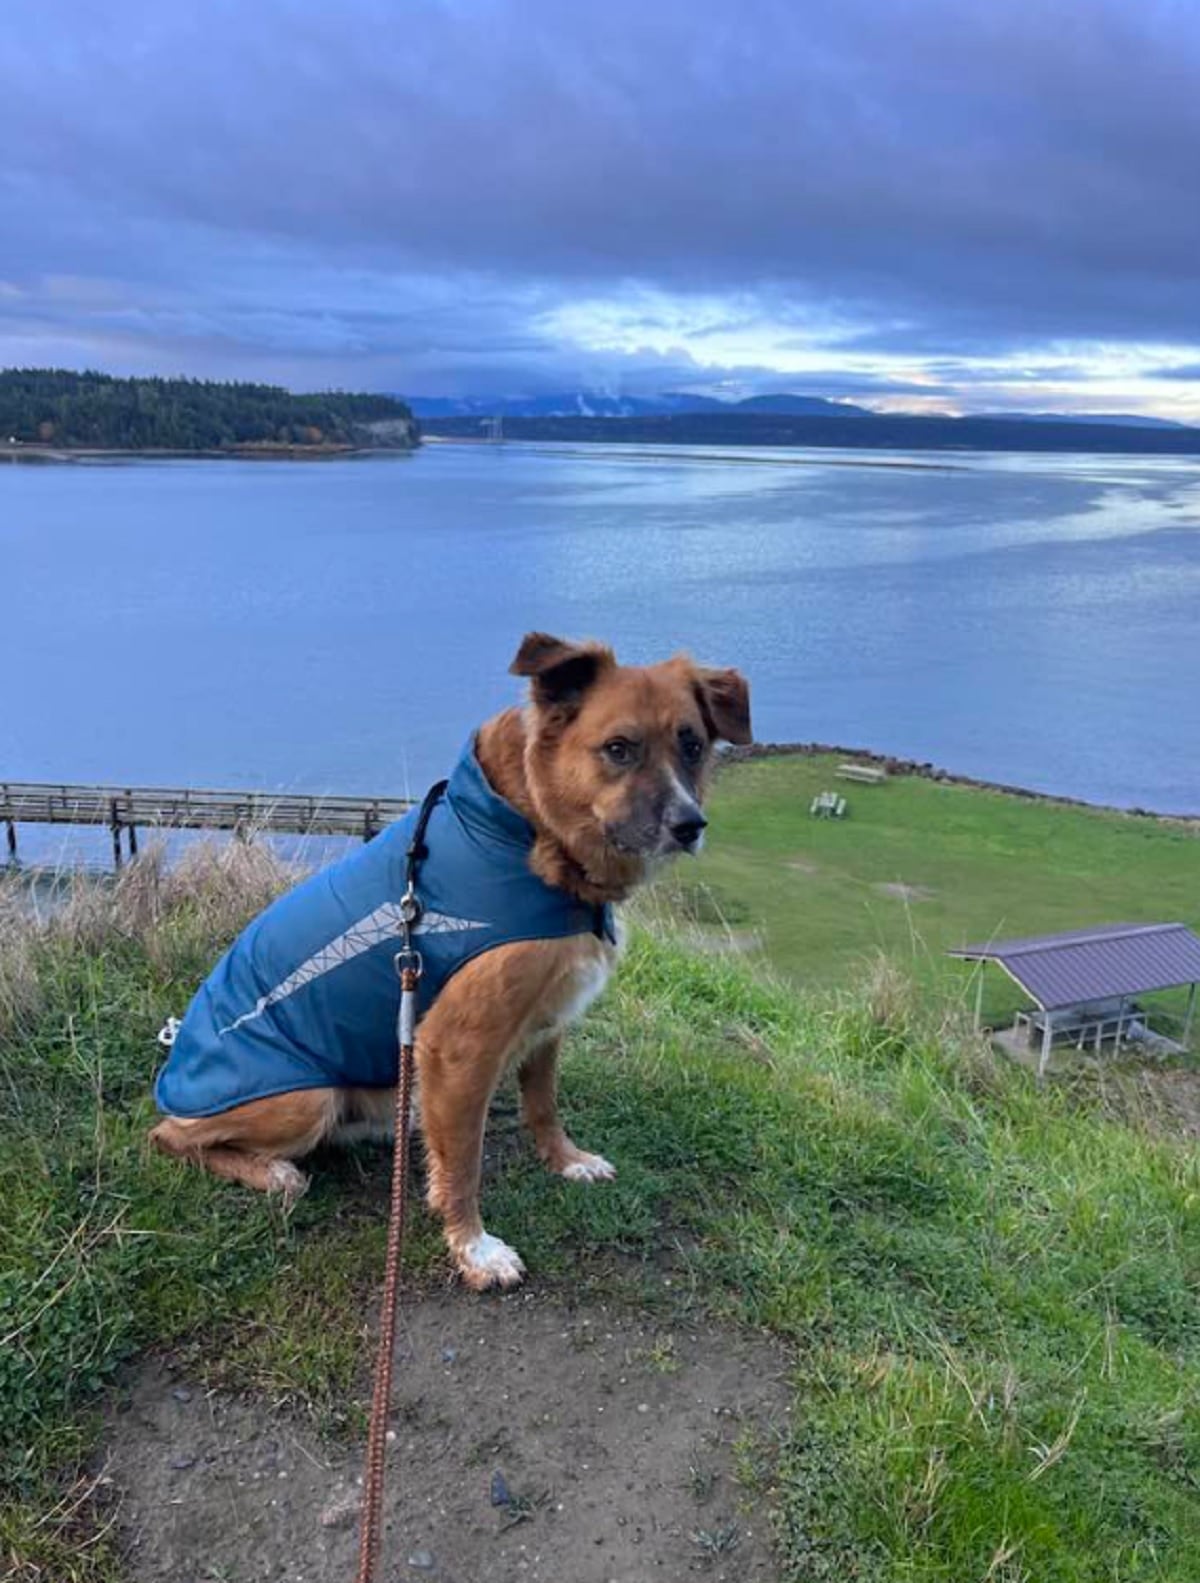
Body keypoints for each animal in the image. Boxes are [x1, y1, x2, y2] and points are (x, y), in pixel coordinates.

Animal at [150, 630, 753, 1285]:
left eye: (692, 745)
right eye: (619, 749)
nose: (689, 825)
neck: (525, 832)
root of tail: (176, 1064)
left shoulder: (547, 1021)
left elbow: (543, 1103)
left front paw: (565, 1160)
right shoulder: (458, 1046)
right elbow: (464, 1162)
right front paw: (473, 1247)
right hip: (305, 1099)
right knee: (169, 1137)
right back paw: (274, 1170)